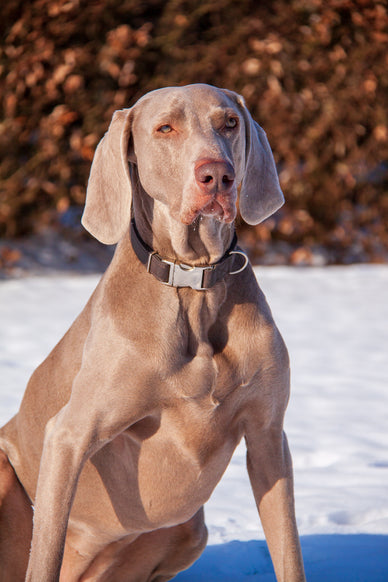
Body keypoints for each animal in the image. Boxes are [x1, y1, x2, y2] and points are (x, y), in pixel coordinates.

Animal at [0, 83, 304, 582]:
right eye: (165, 128)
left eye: (229, 123)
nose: (217, 176)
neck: (192, 287)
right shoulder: (68, 435)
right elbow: (44, 552)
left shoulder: (267, 437)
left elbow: (289, 554)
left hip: (191, 528)